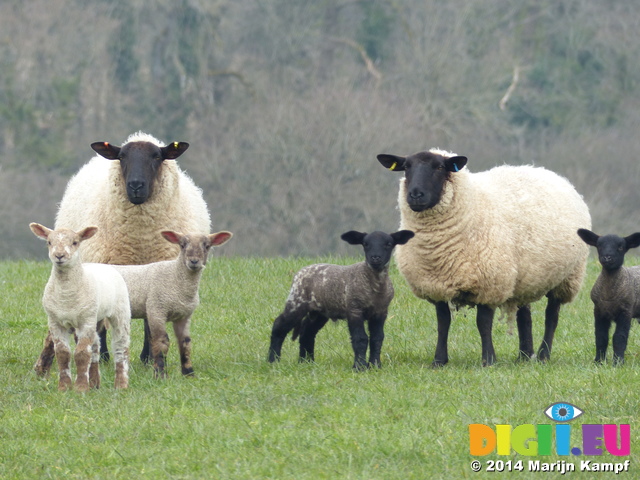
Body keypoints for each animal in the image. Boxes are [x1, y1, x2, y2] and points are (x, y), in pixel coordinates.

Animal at [30, 223, 131, 392]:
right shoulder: (56, 322)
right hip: (96, 317)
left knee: (121, 348)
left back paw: (121, 384)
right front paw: (64, 387)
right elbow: (63, 353)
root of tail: (104, 265)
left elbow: (82, 354)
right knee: (95, 349)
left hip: (120, 312)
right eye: (49, 242)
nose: (59, 256)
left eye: (75, 242)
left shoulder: (85, 321)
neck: (66, 296)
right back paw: (95, 383)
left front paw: (80, 388)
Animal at [112, 230, 232, 378]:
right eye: (182, 245)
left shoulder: (184, 315)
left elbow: (185, 343)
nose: (194, 261)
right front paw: (160, 374)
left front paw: (188, 373)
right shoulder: (156, 310)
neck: (175, 276)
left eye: (207, 246)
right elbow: (161, 342)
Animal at [266, 231, 412, 370]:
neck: (374, 285)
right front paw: (359, 367)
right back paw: (273, 360)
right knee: (279, 325)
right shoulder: (354, 310)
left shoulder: (380, 312)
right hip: (297, 302)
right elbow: (360, 339)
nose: (375, 258)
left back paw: (306, 361)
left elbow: (377, 338)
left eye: (389, 244)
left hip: (319, 312)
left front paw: (375, 365)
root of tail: (300, 272)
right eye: (365, 244)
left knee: (306, 332)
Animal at [378, 148, 592, 366]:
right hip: (524, 278)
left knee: (552, 316)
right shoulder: (437, 285)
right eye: (406, 167)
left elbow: (483, 323)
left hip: (567, 277)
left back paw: (543, 355)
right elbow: (443, 322)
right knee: (524, 316)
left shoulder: (489, 283)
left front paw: (488, 360)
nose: (415, 195)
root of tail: (549, 173)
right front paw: (439, 360)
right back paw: (524, 355)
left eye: (439, 167)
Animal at [576, 229, 640, 364]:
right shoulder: (599, 311)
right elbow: (601, 337)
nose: (607, 257)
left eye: (621, 247)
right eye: (599, 246)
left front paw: (618, 362)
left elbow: (619, 337)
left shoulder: (626, 312)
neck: (609, 295)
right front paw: (599, 361)